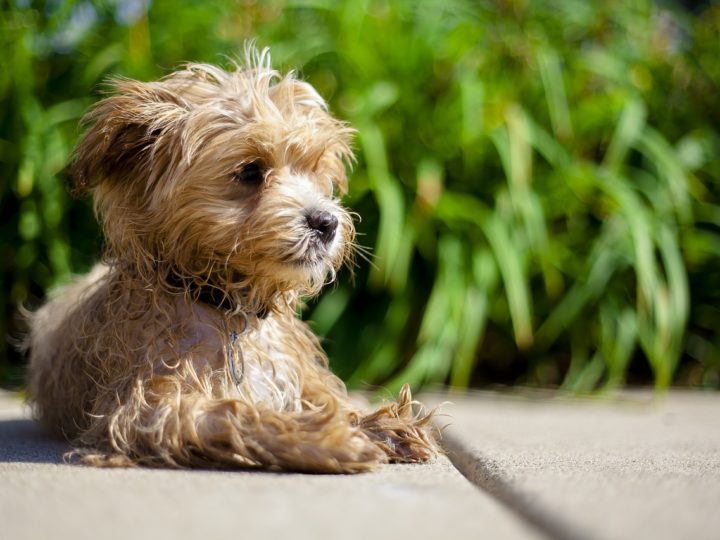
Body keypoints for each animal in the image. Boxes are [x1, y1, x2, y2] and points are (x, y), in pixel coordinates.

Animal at [22, 48, 438, 470]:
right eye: (250, 171)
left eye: (315, 169)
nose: (326, 222)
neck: (227, 308)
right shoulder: (147, 407)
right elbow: (234, 413)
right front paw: (327, 437)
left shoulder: (300, 374)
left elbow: (324, 397)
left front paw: (381, 425)